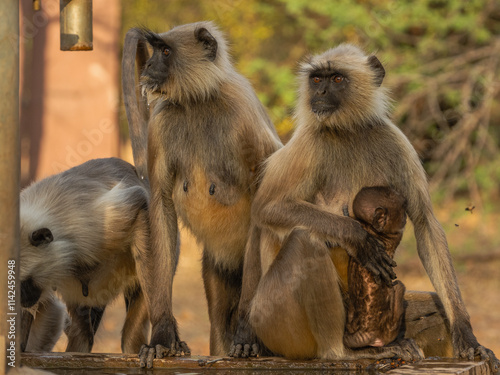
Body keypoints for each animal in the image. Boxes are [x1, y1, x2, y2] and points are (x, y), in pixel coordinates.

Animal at [121, 20, 282, 368]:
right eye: (155, 50)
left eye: (166, 51)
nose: (149, 66)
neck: (199, 100)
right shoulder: (161, 120)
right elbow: (162, 205)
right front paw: (163, 334)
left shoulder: (243, 113)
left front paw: (248, 333)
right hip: (217, 268)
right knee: (220, 320)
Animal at [232, 44, 498, 374]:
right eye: (316, 79)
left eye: (336, 79)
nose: (319, 94)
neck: (348, 130)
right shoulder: (309, 141)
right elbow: (267, 208)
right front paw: (358, 238)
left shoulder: (394, 139)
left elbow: (426, 223)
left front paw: (466, 333)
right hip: (276, 325)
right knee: (304, 241)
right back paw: (344, 353)